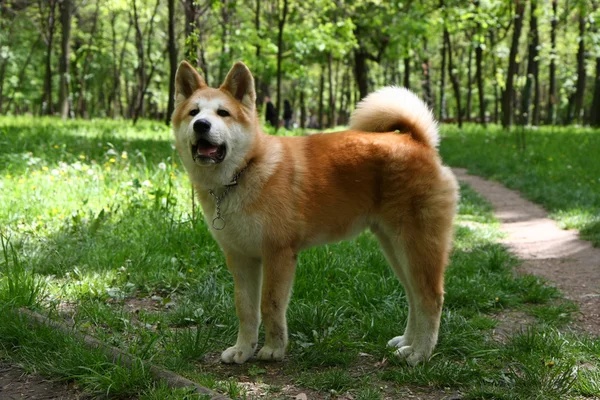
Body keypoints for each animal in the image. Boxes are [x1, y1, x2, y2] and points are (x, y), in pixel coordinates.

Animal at [171, 60, 458, 366]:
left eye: (222, 113)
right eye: (193, 112)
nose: (201, 125)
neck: (245, 171)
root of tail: (418, 142)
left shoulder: (278, 254)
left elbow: (270, 305)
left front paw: (273, 349)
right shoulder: (241, 259)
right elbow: (246, 310)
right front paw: (243, 350)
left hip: (417, 247)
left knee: (430, 298)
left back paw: (420, 353)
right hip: (395, 248)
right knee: (414, 296)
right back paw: (406, 343)